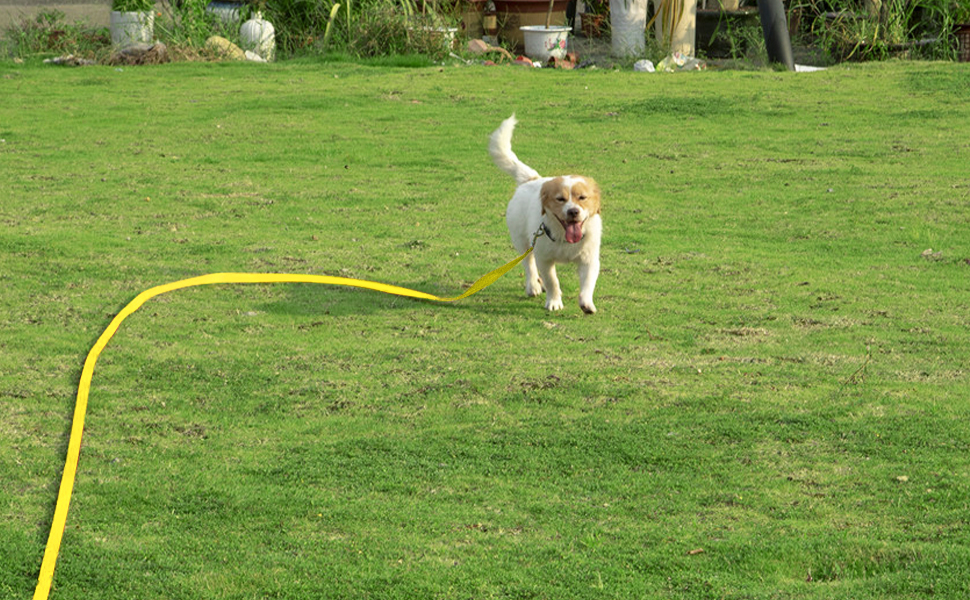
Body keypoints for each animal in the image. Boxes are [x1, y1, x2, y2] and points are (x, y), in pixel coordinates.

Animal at [488, 115, 600, 316]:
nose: (573, 211)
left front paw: (587, 303)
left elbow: (588, 284)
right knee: (529, 265)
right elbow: (552, 281)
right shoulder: (545, 259)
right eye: (560, 199)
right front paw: (554, 302)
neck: (564, 238)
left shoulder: (589, 260)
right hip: (523, 243)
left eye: (582, 198)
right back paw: (533, 285)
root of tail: (531, 179)